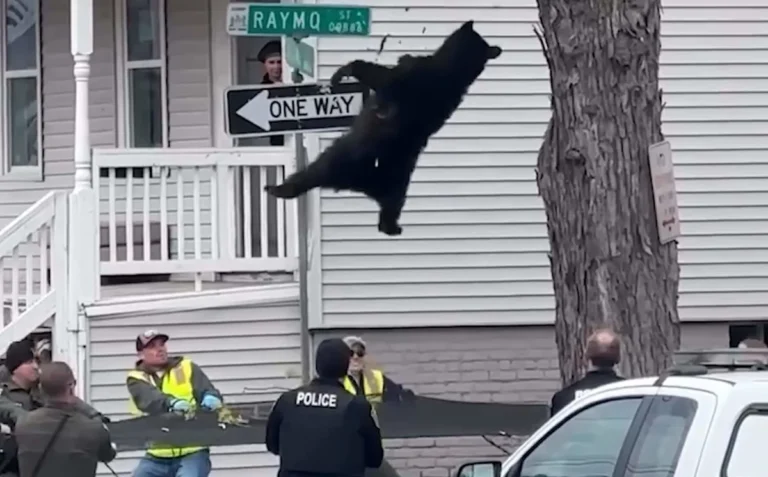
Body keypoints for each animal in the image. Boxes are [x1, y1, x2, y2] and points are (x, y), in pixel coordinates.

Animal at [264, 20, 502, 236]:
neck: (454, 71)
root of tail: (365, 185)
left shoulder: (409, 76)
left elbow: (380, 74)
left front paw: (343, 71)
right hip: (397, 184)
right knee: (392, 206)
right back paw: (392, 227)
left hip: (342, 159)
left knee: (310, 174)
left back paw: (278, 189)